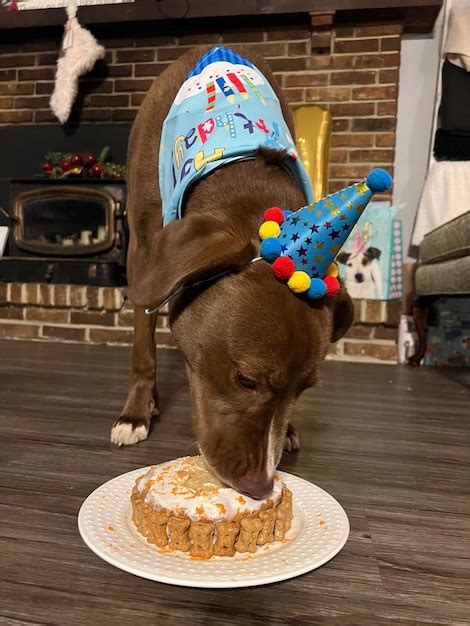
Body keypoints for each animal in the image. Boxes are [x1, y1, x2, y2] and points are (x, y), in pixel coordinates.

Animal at [111, 47, 352, 498]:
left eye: (305, 389)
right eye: (245, 380)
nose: (261, 486)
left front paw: (288, 430)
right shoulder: (143, 256)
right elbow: (142, 348)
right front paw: (135, 414)